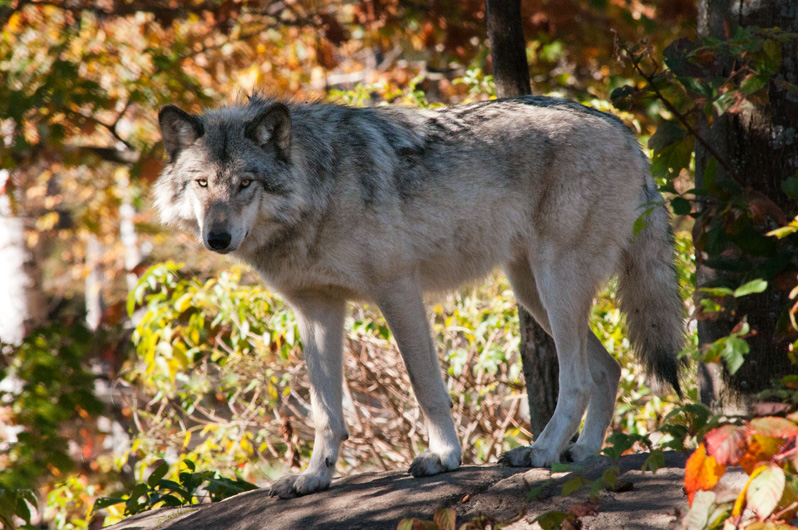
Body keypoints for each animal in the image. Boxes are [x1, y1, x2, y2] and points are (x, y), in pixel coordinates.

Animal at [153, 97, 684, 498]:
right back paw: (583, 451)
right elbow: (325, 411)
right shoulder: (317, 310)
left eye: (246, 183)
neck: (320, 188)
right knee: (608, 368)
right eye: (202, 183)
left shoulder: (398, 290)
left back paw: (542, 452)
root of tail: (624, 129)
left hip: (555, 283)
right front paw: (315, 476)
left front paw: (444, 457)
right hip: (531, 290)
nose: (217, 238)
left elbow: (426, 387)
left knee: (577, 380)